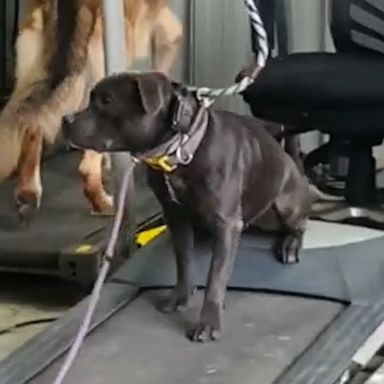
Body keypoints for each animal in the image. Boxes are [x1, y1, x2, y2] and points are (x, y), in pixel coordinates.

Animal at [62, 72, 312, 342]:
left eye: (107, 101)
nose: (66, 119)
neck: (179, 151)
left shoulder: (226, 223)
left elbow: (216, 276)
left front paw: (209, 321)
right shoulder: (175, 215)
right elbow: (184, 261)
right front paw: (180, 296)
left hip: (283, 205)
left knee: (299, 224)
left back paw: (291, 244)